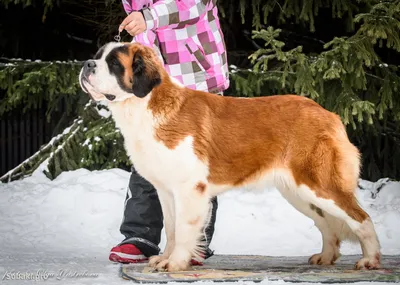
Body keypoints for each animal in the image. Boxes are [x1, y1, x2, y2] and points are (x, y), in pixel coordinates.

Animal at [79, 41, 382, 270]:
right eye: (98, 56)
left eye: (114, 63)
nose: (87, 64)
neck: (143, 105)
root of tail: (328, 114)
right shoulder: (166, 191)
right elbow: (172, 228)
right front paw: (165, 258)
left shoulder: (190, 189)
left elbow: (185, 229)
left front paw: (175, 263)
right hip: (299, 192)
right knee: (327, 224)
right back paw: (327, 257)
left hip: (319, 186)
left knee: (360, 217)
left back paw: (370, 260)